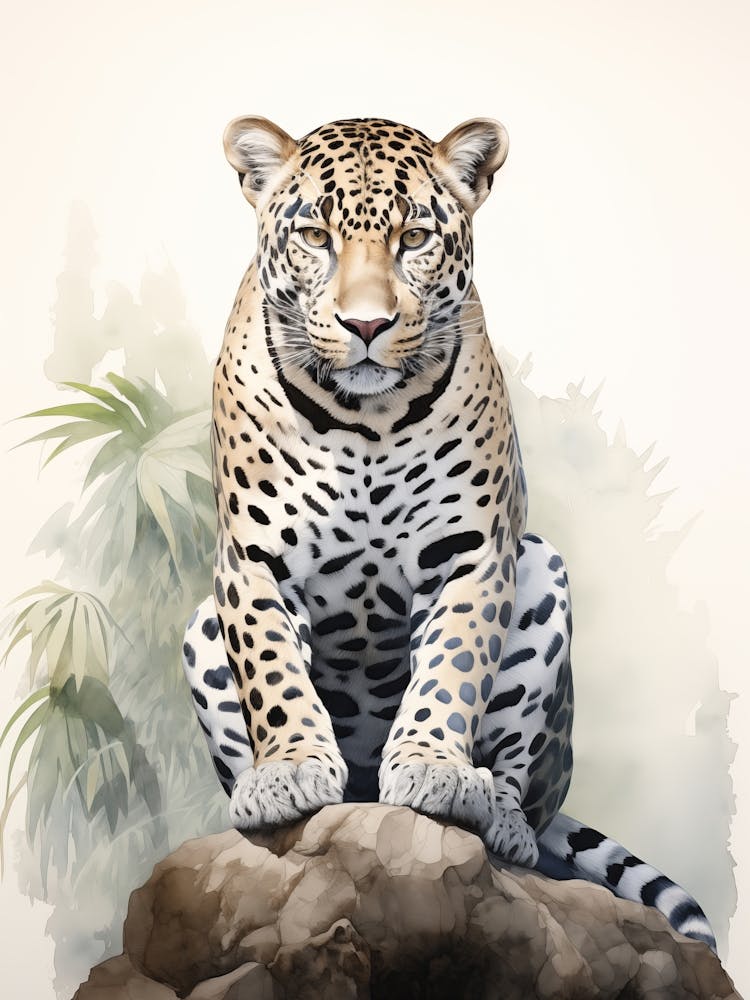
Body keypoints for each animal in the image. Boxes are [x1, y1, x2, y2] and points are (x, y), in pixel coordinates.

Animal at [182, 114, 716, 950]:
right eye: (315, 236)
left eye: (414, 238)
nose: (366, 324)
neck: (362, 420)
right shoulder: (253, 559)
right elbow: (272, 673)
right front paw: (290, 769)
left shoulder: (471, 554)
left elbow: (451, 670)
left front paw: (432, 764)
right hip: (200, 627)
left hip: (544, 578)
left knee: (523, 783)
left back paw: (497, 815)